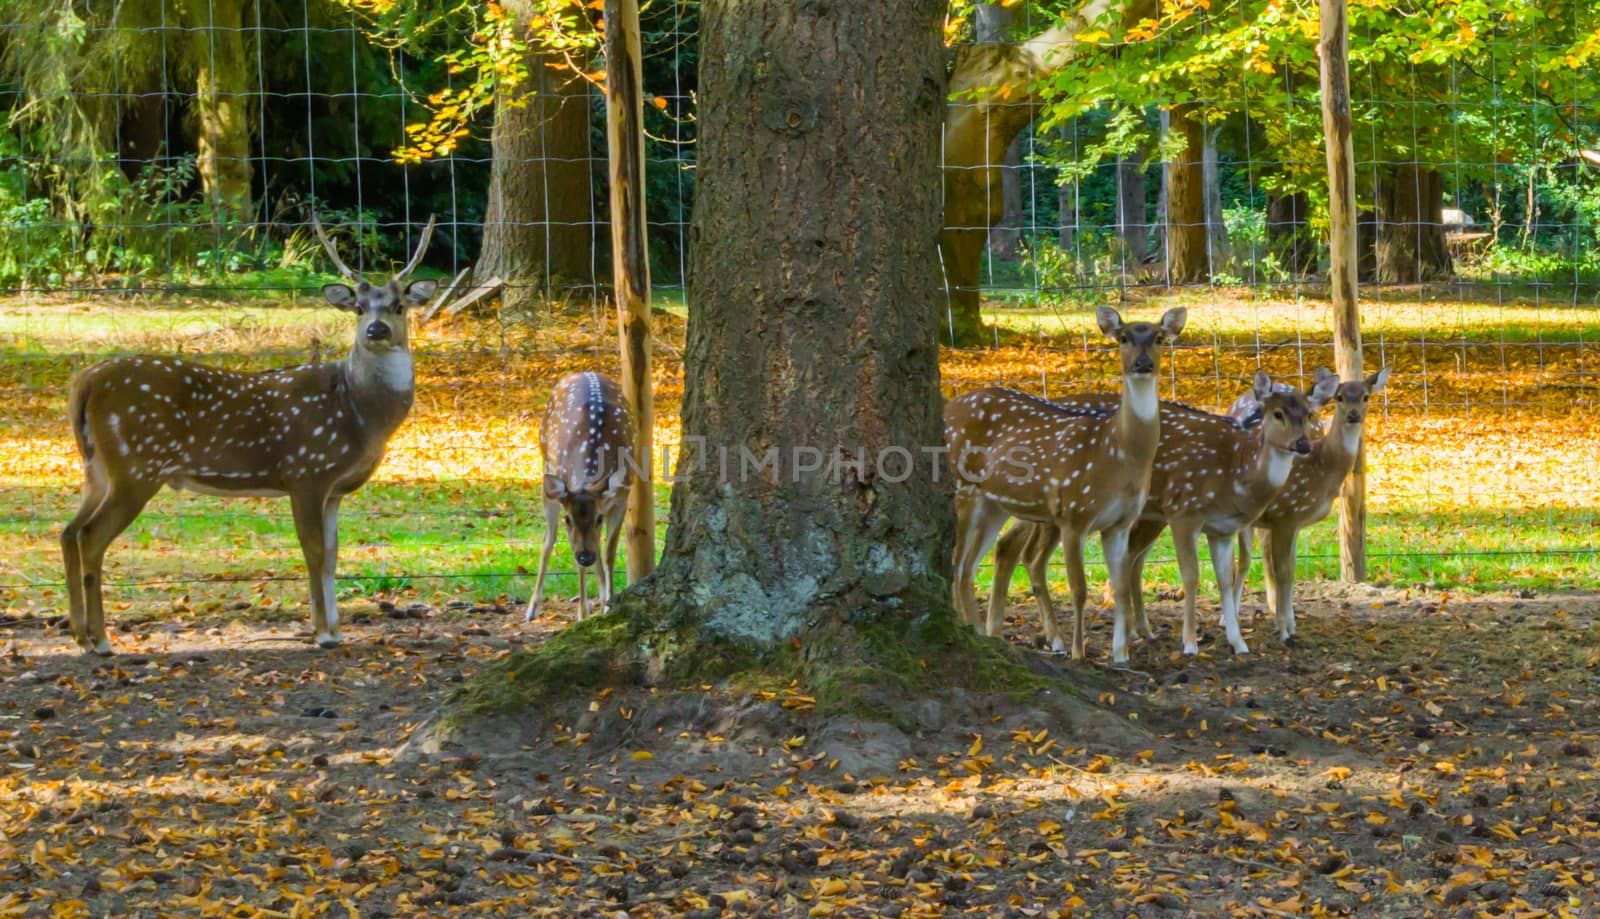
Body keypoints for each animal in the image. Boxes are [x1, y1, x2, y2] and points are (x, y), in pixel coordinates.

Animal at [60, 214, 438, 656]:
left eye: (398, 306)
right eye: (358, 309)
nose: (376, 330)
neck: (359, 413)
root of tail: (83, 383)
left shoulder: (334, 488)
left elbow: (332, 554)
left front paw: (336, 629)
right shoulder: (306, 470)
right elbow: (313, 552)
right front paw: (323, 633)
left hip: (97, 467)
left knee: (68, 531)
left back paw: (80, 634)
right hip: (136, 465)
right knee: (91, 536)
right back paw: (100, 641)